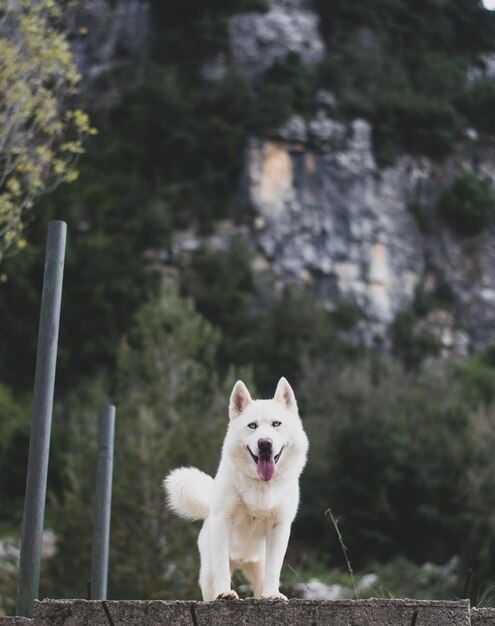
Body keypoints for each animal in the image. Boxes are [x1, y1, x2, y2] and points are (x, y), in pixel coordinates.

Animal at [165, 376, 308, 600]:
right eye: (252, 425)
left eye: (276, 424)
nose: (265, 443)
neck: (261, 486)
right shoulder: (223, 520)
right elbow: (222, 566)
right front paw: (225, 593)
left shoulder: (280, 527)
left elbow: (274, 570)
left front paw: (273, 595)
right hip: (207, 575)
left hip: (257, 571)